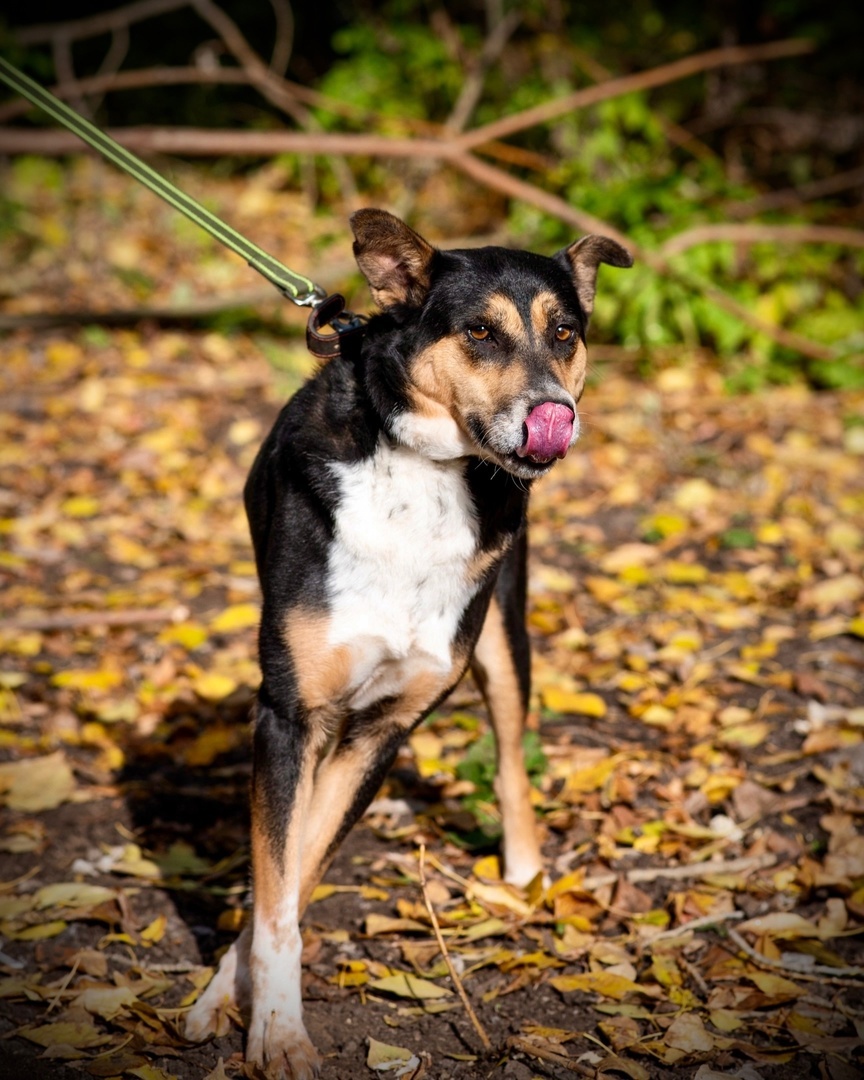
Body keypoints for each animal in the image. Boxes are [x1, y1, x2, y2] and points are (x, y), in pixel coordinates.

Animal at [185, 208, 630, 1071]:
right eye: (479, 332)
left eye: (564, 333)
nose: (553, 413)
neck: (423, 473)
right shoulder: (293, 717)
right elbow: (278, 886)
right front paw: (261, 1018)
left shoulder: (384, 730)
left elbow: (295, 874)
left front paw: (258, 1009)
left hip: (501, 632)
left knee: (510, 754)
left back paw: (524, 873)